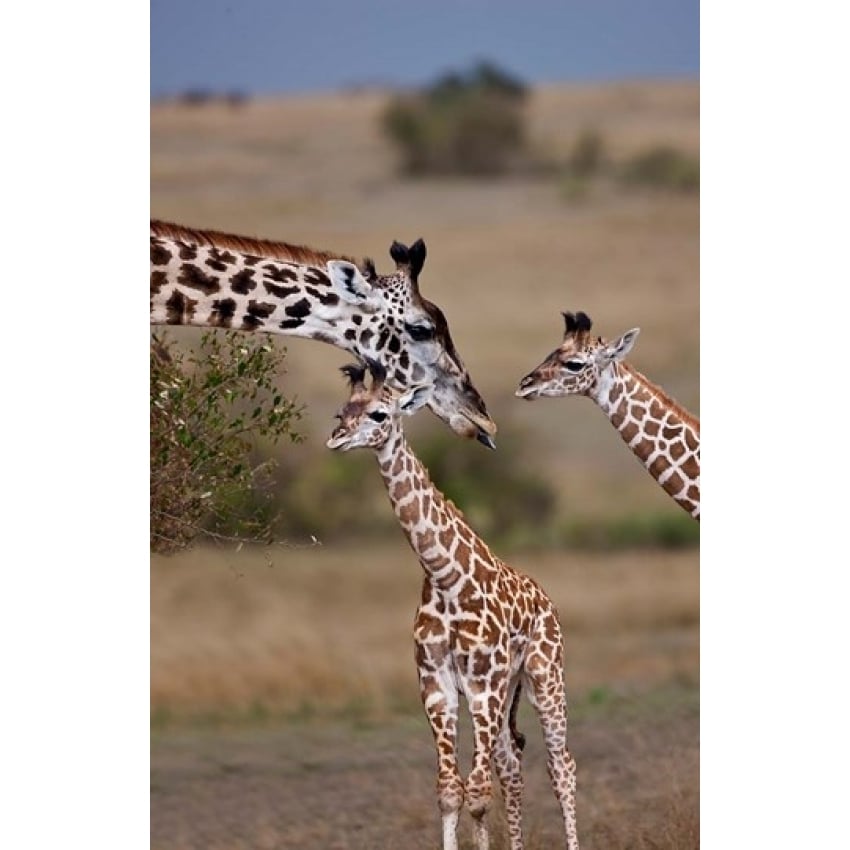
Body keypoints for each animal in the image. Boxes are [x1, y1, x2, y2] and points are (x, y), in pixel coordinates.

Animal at [324, 362, 576, 848]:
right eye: (341, 411)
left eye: (380, 414)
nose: (336, 439)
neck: (445, 577)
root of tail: (547, 600)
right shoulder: (436, 684)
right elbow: (449, 790)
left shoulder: (483, 685)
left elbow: (476, 793)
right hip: (509, 692)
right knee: (511, 766)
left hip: (543, 676)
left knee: (562, 767)